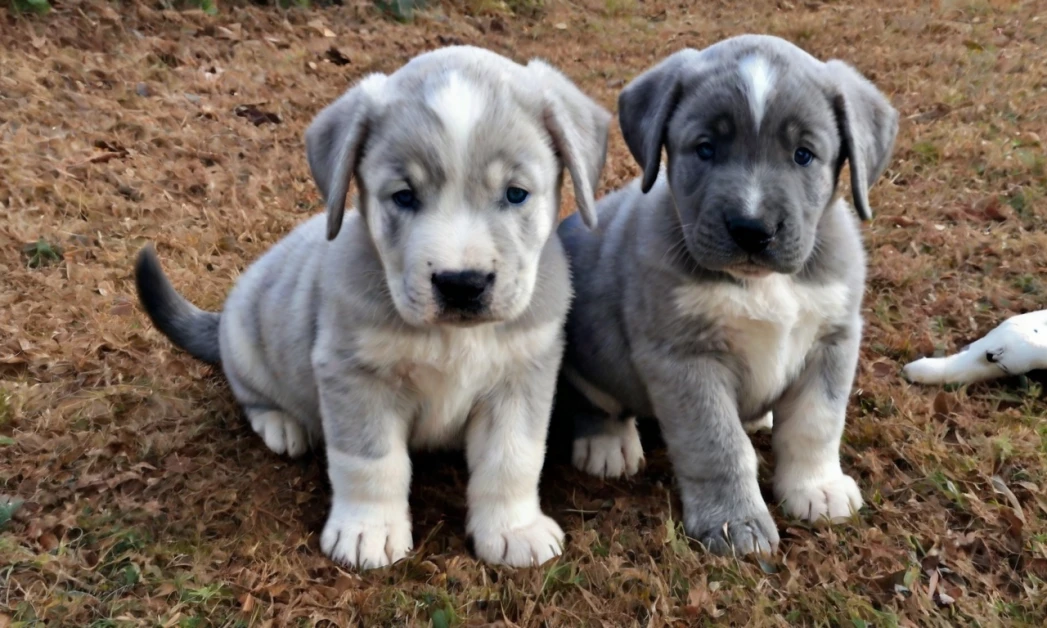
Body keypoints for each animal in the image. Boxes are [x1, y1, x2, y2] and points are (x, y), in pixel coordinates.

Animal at [134, 46, 611, 573]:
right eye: (404, 196)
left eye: (515, 194)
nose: (461, 284)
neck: (454, 337)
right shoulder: (355, 377)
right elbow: (370, 463)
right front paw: (369, 529)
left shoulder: (523, 375)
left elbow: (512, 460)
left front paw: (513, 528)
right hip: (244, 340)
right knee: (250, 394)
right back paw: (282, 424)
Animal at [557, 34, 900, 552]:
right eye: (705, 149)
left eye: (804, 154)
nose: (752, 229)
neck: (761, 284)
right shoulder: (684, 359)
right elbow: (717, 446)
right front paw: (734, 520)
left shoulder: (834, 339)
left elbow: (817, 424)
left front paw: (816, 485)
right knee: (593, 398)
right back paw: (607, 442)